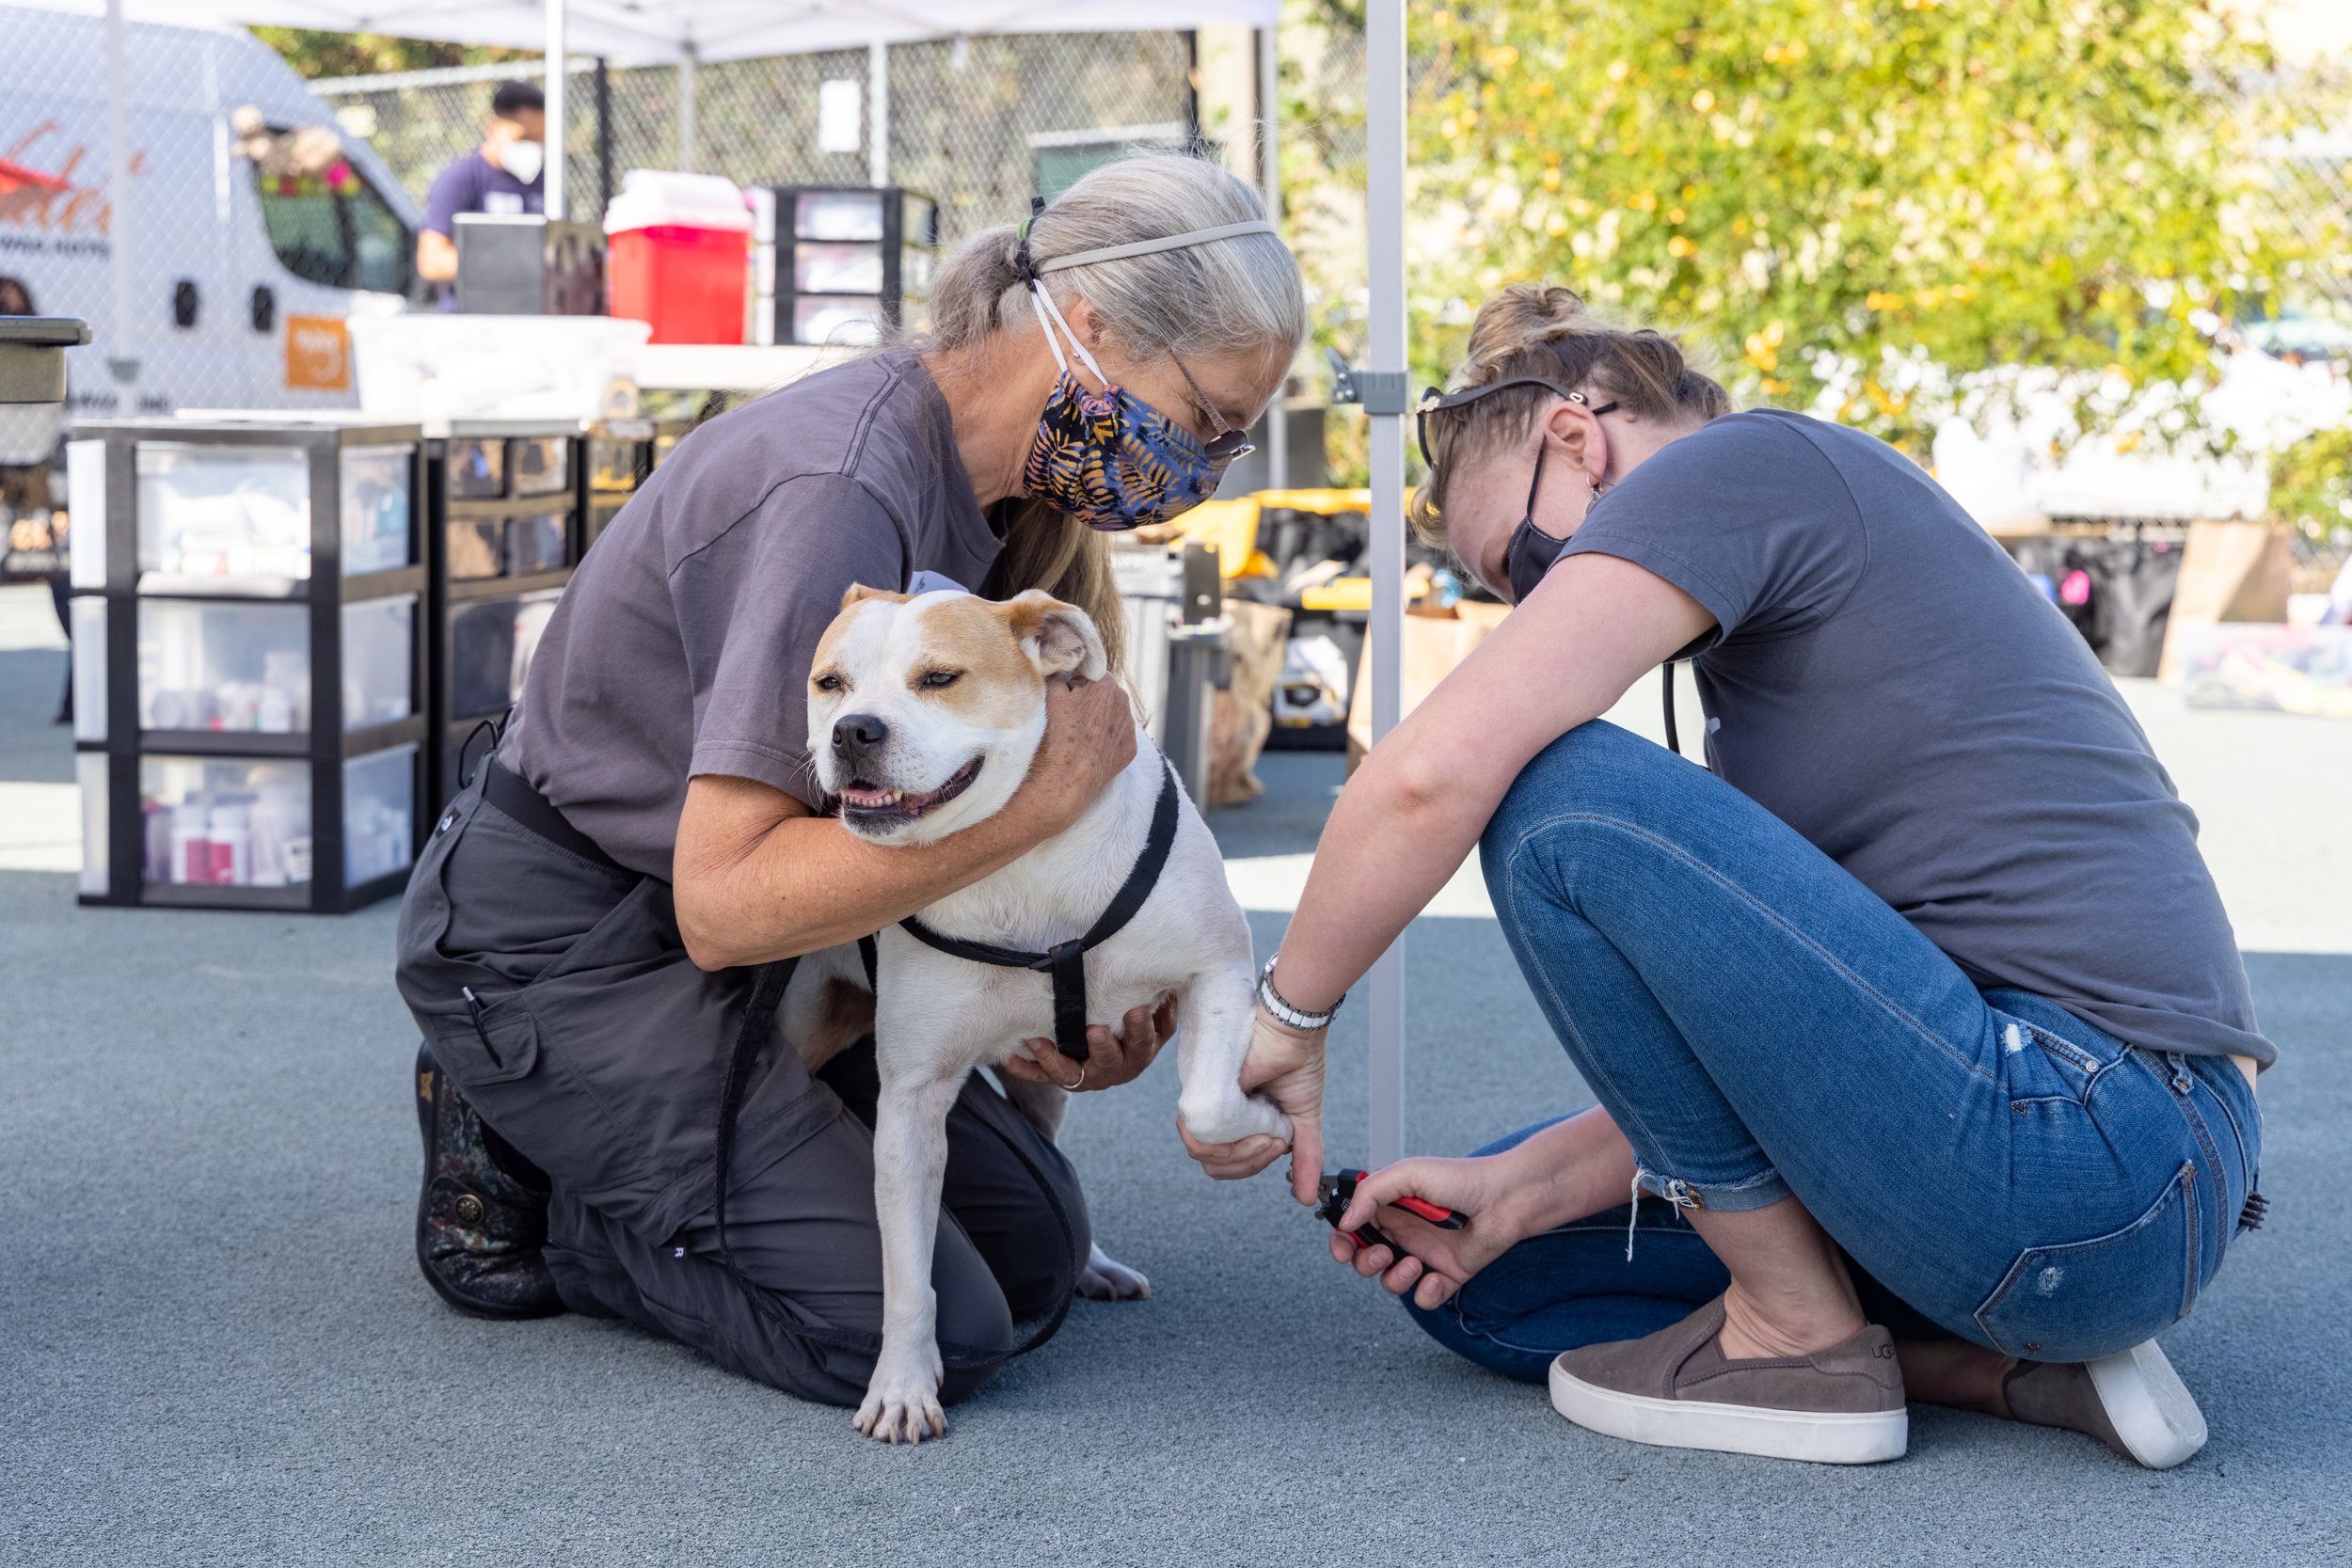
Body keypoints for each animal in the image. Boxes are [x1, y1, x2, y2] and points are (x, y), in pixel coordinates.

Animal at [781, 585, 1279, 1448]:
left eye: (939, 678)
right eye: (830, 683)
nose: (854, 730)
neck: (1019, 861)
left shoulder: (1218, 968)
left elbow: (1209, 1106)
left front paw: (1271, 1124)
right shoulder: (911, 1102)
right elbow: (908, 1271)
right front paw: (903, 1382)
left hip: (1046, 1089)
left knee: (1061, 1174)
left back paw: (1093, 1265)